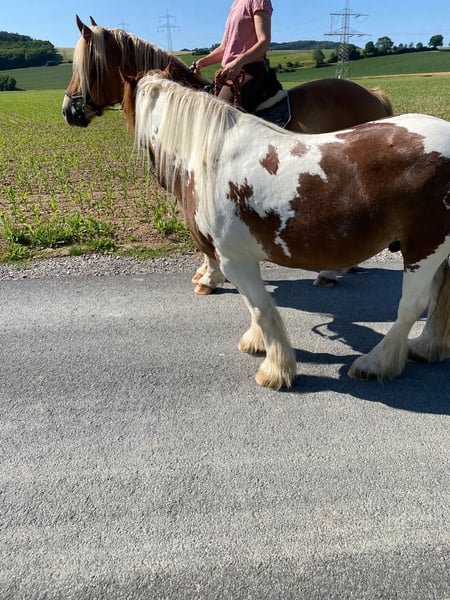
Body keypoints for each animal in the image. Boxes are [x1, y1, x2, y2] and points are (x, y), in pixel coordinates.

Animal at [118, 70, 450, 390]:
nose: (160, 177)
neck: (211, 156)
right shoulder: (243, 259)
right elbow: (255, 305)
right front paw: (257, 343)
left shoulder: (232, 259)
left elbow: (261, 307)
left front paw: (276, 369)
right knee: (439, 292)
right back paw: (425, 347)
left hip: (424, 246)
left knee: (412, 305)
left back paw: (376, 363)